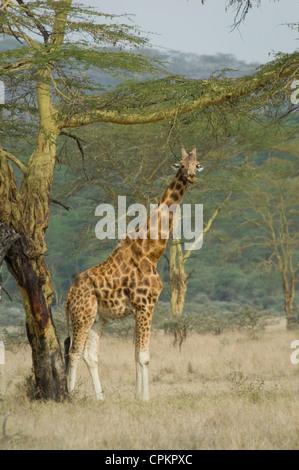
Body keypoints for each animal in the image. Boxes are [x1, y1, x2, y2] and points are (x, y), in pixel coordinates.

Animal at [64, 146, 205, 400]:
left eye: (196, 164)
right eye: (181, 164)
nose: (191, 176)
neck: (151, 251)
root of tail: (69, 295)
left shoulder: (142, 308)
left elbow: (136, 355)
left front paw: (138, 396)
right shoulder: (145, 305)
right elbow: (144, 356)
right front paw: (146, 398)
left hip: (98, 318)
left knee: (90, 355)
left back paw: (100, 398)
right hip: (83, 315)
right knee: (74, 352)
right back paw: (70, 397)